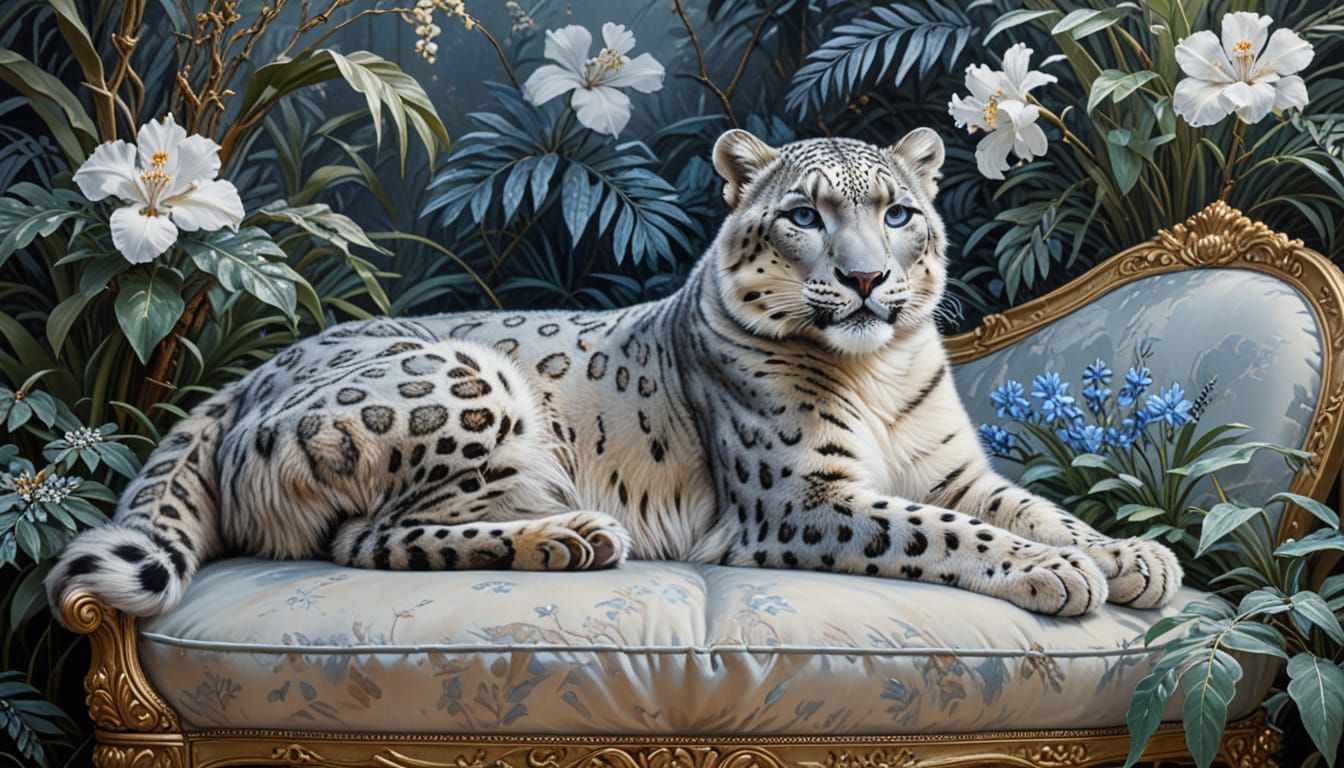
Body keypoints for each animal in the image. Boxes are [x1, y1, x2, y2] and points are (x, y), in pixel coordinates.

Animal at [47, 128, 1182, 620]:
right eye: (804, 214)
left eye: (897, 211)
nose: (865, 279)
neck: (880, 372)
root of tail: (252, 375)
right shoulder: (802, 499)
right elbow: (942, 532)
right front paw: (1058, 574)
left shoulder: (951, 467)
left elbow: (1028, 507)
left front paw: (1128, 556)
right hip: (467, 387)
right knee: (364, 538)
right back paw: (574, 536)